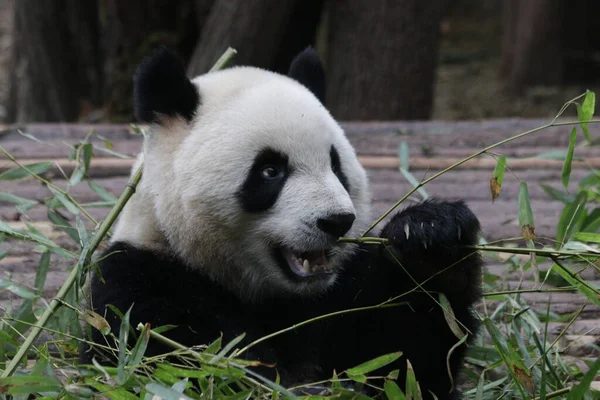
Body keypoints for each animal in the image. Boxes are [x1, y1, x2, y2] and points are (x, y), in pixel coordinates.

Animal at [81, 45, 482, 398]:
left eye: (336, 165)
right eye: (270, 170)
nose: (337, 221)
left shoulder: (342, 295)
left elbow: (407, 361)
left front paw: (431, 238)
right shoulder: (141, 283)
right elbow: (185, 361)